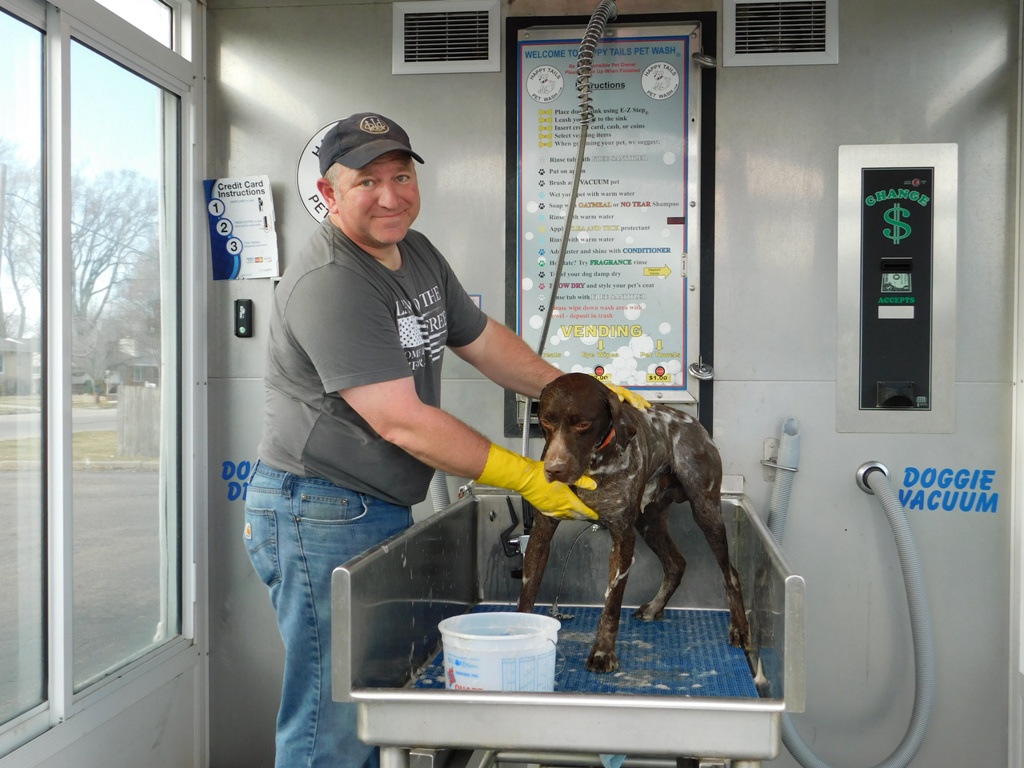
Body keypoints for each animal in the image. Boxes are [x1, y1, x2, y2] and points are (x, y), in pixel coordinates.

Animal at [517, 372, 750, 673]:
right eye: (546, 421)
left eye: (582, 424)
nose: (554, 469)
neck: (592, 468)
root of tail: (693, 423)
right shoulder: (541, 534)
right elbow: (527, 594)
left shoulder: (623, 537)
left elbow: (611, 607)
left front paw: (603, 652)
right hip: (648, 523)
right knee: (676, 563)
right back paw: (654, 607)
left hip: (706, 511)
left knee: (730, 573)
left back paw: (740, 628)